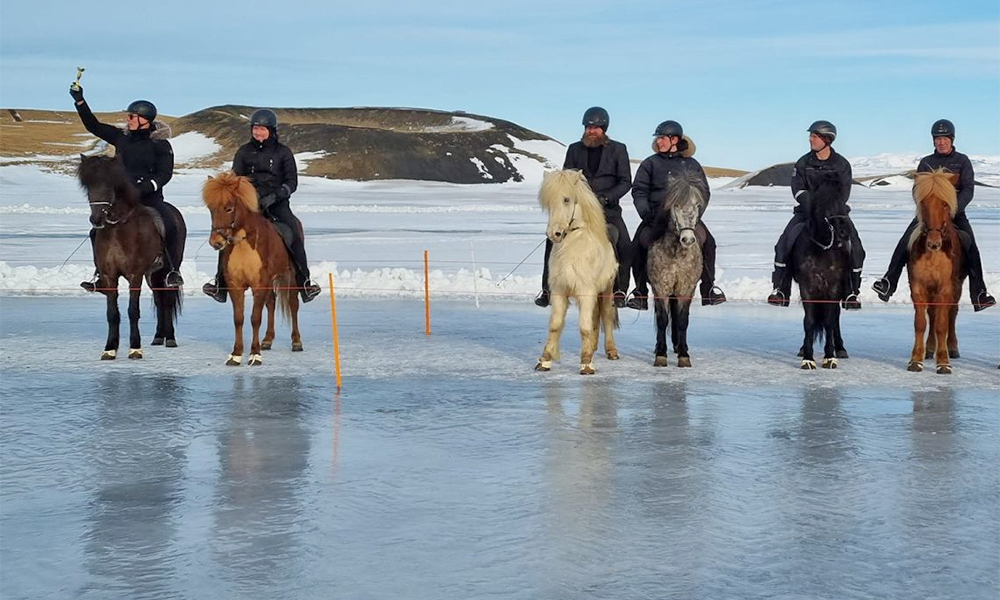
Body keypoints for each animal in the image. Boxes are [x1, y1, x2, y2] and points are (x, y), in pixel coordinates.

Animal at [77, 157, 185, 358]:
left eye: (109, 184)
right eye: (88, 185)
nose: (96, 219)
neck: (117, 228)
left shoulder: (135, 275)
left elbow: (133, 310)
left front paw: (135, 347)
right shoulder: (109, 276)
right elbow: (112, 314)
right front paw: (110, 348)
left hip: (168, 268)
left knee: (166, 299)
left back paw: (170, 338)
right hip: (153, 273)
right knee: (159, 299)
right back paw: (159, 336)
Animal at [201, 170, 298, 366]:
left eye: (229, 208)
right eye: (211, 208)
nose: (216, 242)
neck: (243, 244)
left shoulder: (259, 284)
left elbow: (255, 318)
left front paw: (254, 354)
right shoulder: (236, 285)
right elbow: (239, 319)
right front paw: (236, 354)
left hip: (289, 275)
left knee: (293, 304)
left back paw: (296, 341)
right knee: (271, 302)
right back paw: (267, 340)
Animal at [540, 170, 616, 376]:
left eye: (566, 199)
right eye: (548, 202)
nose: (554, 234)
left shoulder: (586, 291)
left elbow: (584, 327)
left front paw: (587, 364)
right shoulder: (559, 291)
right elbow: (555, 325)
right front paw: (545, 360)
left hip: (607, 290)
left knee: (606, 316)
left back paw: (611, 351)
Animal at [788, 172, 852, 370]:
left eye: (842, 200)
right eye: (823, 202)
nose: (844, 232)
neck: (822, 249)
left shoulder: (833, 287)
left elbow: (830, 321)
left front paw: (830, 357)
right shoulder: (807, 287)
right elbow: (809, 320)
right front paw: (808, 358)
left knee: (836, 317)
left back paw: (840, 348)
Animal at [904, 169, 964, 376]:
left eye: (945, 204)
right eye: (923, 202)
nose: (933, 243)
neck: (933, 254)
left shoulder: (945, 289)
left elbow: (941, 325)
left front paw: (944, 362)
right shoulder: (918, 287)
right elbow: (921, 323)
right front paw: (916, 360)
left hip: (956, 288)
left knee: (952, 314)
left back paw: (952, 348)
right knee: (932, 313)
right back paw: (930, 349)